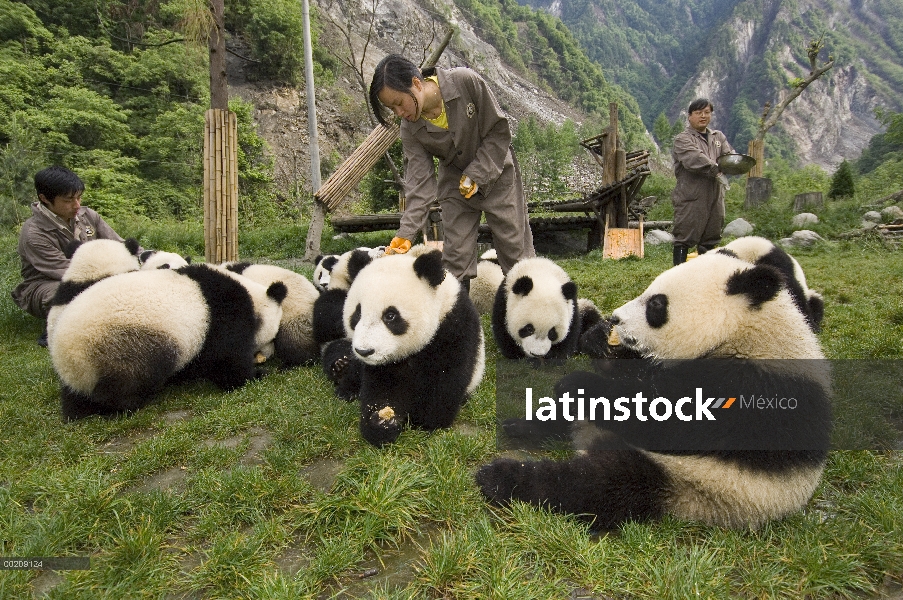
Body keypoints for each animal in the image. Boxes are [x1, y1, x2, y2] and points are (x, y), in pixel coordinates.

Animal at [480, 253, 832, 528]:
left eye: (656, 304)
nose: (616, 318)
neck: (746, 332)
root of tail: (590, 443)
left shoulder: (751, 389)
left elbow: (667, 422)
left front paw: (578, 381)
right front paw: (598, 341)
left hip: (701, 486)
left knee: (597, 484)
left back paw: (502, 477)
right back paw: (519, 427)